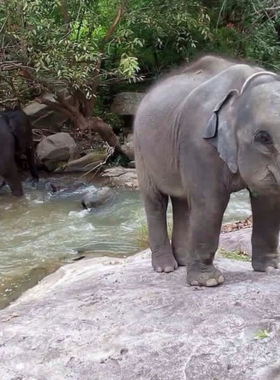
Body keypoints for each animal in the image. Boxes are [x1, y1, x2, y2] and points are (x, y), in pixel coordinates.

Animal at [133, 54, 280, 288]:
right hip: (141, 150)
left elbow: (268, 199)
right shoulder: (198, 142)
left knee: (182, 202)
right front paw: (208, 282)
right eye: (263, 138)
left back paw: (183, 261)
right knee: (155, 201)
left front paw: (269, 269)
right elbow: (210, 203)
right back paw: (165, 268)